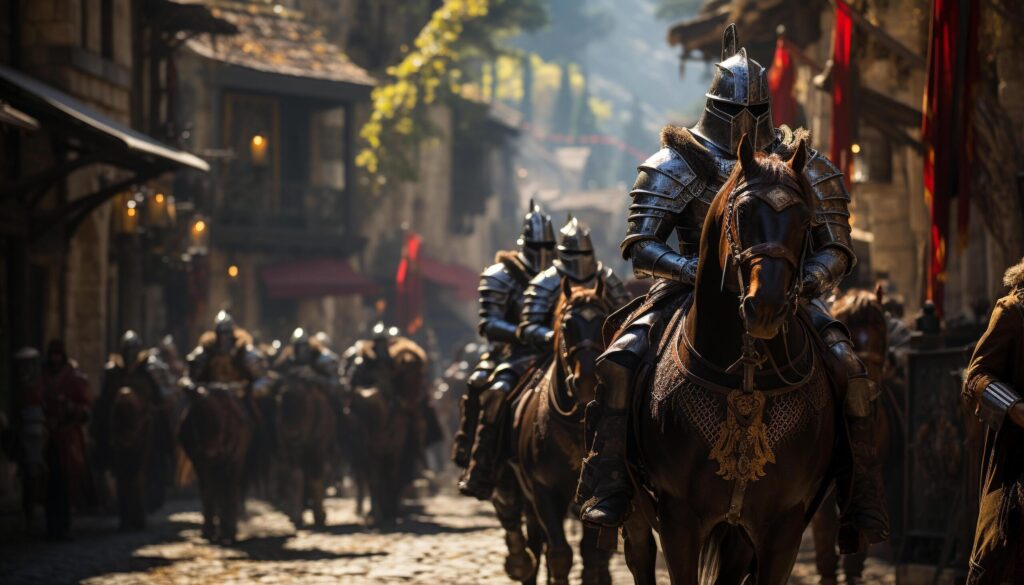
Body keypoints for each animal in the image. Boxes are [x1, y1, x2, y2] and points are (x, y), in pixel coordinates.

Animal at [179, 385, 254, 545]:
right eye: (197, 414)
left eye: (225, 416)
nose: (211, 452)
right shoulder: (199, 462)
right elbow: (208, 492)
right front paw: (208, 531)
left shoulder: (231, 462)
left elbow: (228, 492)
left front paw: (228, 532)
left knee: (229, 490)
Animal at [505, 278, 610, 585]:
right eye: (566, 326)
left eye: (603, 321)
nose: (587, 383)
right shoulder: (544, 491)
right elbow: (560, 554)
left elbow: (591, 556)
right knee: (536, 541)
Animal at [622, 135, 839, 581]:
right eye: (743, 212)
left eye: (805, 219)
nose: (766, 307)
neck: (745, 378)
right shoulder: (678, 518)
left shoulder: (783, 525)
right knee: (639, 556)